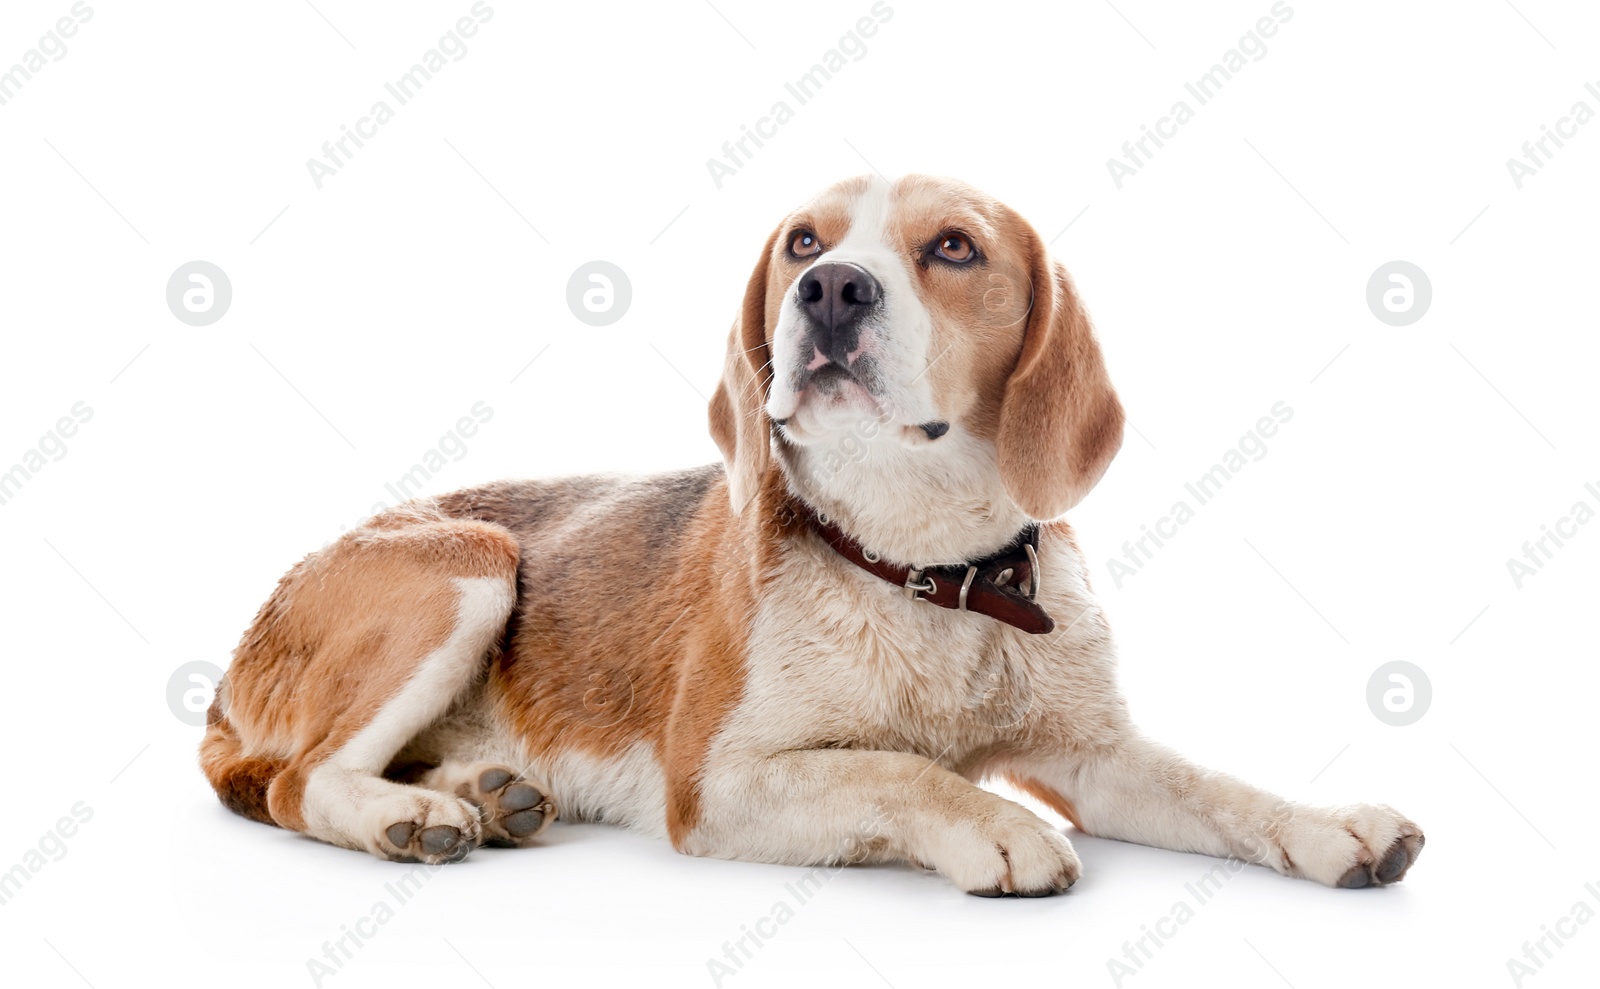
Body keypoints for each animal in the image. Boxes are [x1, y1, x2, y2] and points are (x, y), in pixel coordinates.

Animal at [203, 173, 1427, 889]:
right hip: (472, 562)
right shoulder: (719, 782)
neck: (926, 569)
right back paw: (409, 817)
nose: (832, 289)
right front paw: (991, 820)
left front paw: (1332, 824)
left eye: (954, 247)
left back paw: (479, 791)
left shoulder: (1093, 754)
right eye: (802, 242)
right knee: (295, 781)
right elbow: (898, 768)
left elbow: (1217, 787)